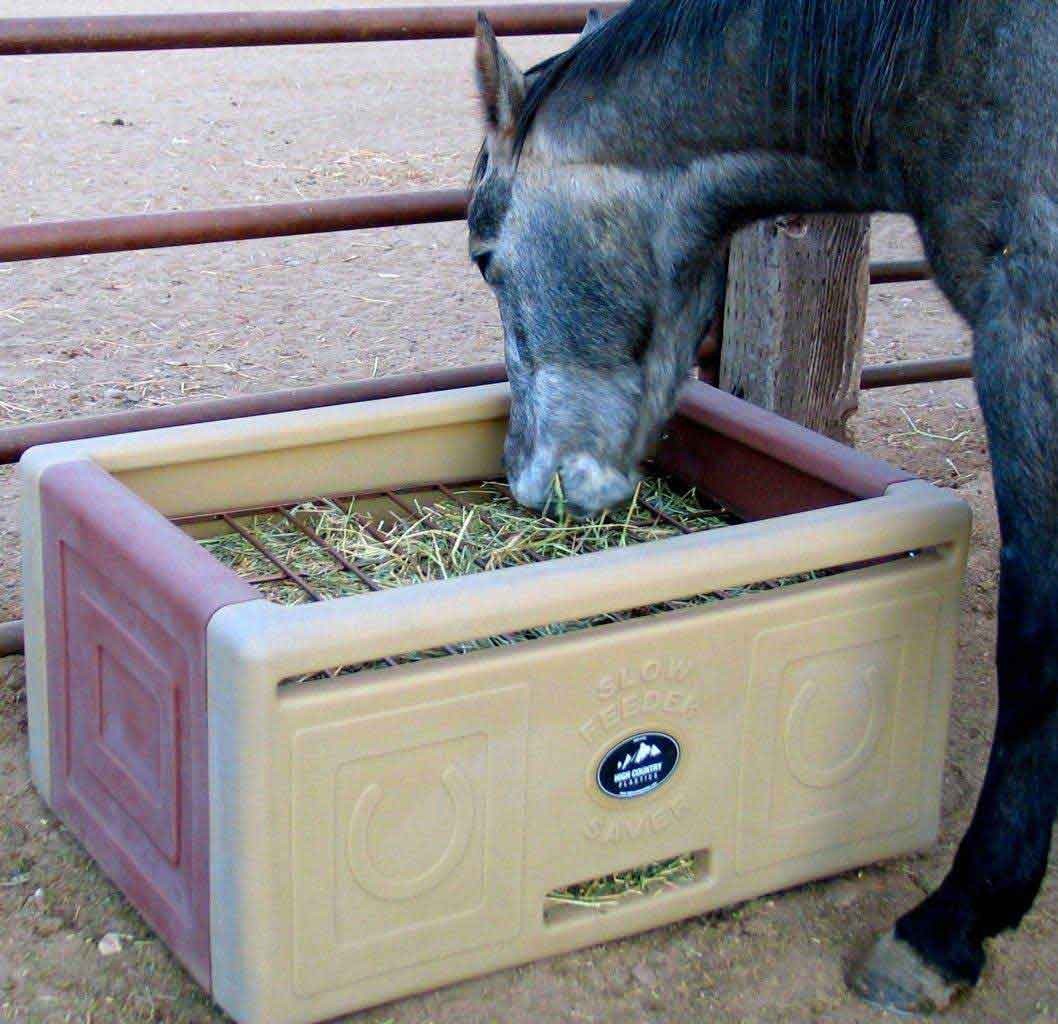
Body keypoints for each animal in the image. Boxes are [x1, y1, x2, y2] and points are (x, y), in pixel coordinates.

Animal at [468, 0, 1058, 1013]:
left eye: (484, 257)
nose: (529, 484)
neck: (956, 58)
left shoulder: (1030, 336)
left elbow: (1034, 651)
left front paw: (950, 929)